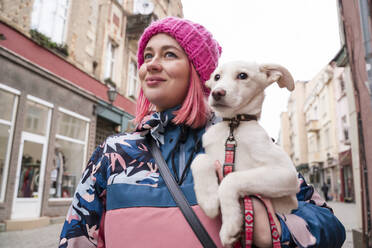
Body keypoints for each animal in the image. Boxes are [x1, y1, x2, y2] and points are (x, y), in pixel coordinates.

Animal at [192, 60, 300, 246]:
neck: (233, 127)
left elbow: (231, 180)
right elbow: (199, 159)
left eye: (242, 75)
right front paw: (209, 200)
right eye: (217, 77)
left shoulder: (286, 173)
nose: (217, 93)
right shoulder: (211, 155)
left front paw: (230, 226)